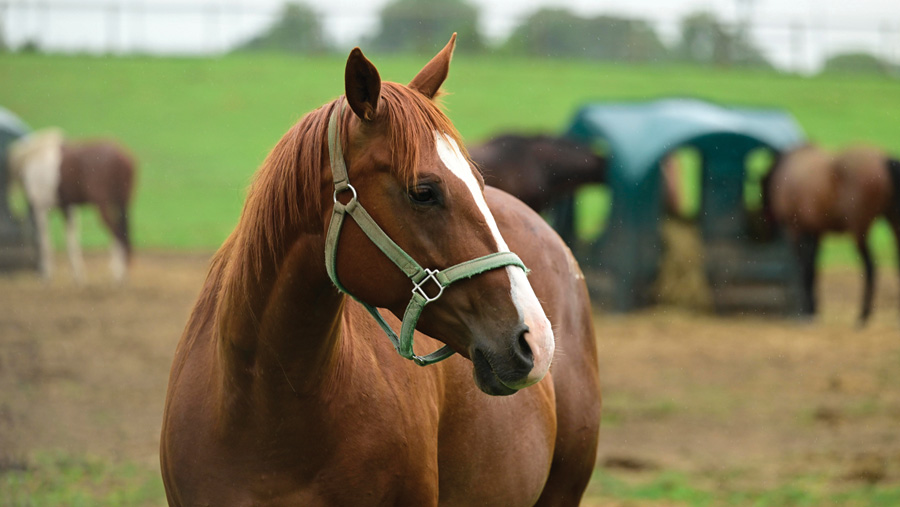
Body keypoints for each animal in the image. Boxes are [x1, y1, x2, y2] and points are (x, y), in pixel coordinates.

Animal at [7, 129, 136, 283]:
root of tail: (121, 156)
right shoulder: (67, 208)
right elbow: (71, 241)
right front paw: (77, 275)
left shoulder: (41, 209)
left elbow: (45, 241)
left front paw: (47, 274)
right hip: (122, 204)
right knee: (123, 234)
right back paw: (121, 271)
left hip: (103, 206)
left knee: (117, 234)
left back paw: (118, 273)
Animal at [762, 143, 900, 325]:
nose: (767, 233)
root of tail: (883, 159)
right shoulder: (815, 232)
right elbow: (812, 269)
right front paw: (813, 308)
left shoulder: (795, 231)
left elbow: (804, 268)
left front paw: (807, 310)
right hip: (893, 221)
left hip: (859, 231)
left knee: (870, 267)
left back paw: (863, 315)